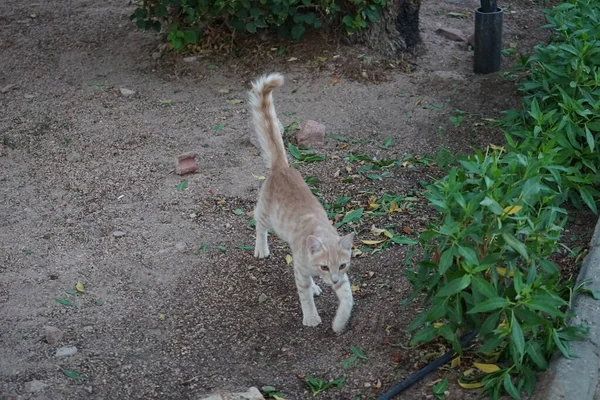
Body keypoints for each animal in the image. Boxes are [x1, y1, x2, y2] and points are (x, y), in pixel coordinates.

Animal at [248, 72, 356, 334]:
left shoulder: (342, 280)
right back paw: (261, 248)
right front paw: (311, 317)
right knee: (259, 226)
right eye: (325, 266)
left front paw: (339, 323)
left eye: (342, 266)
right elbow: (304, 295)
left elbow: (348, 299)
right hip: (266, 214)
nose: (332, 280)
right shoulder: (300, 271)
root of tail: (282, 167)